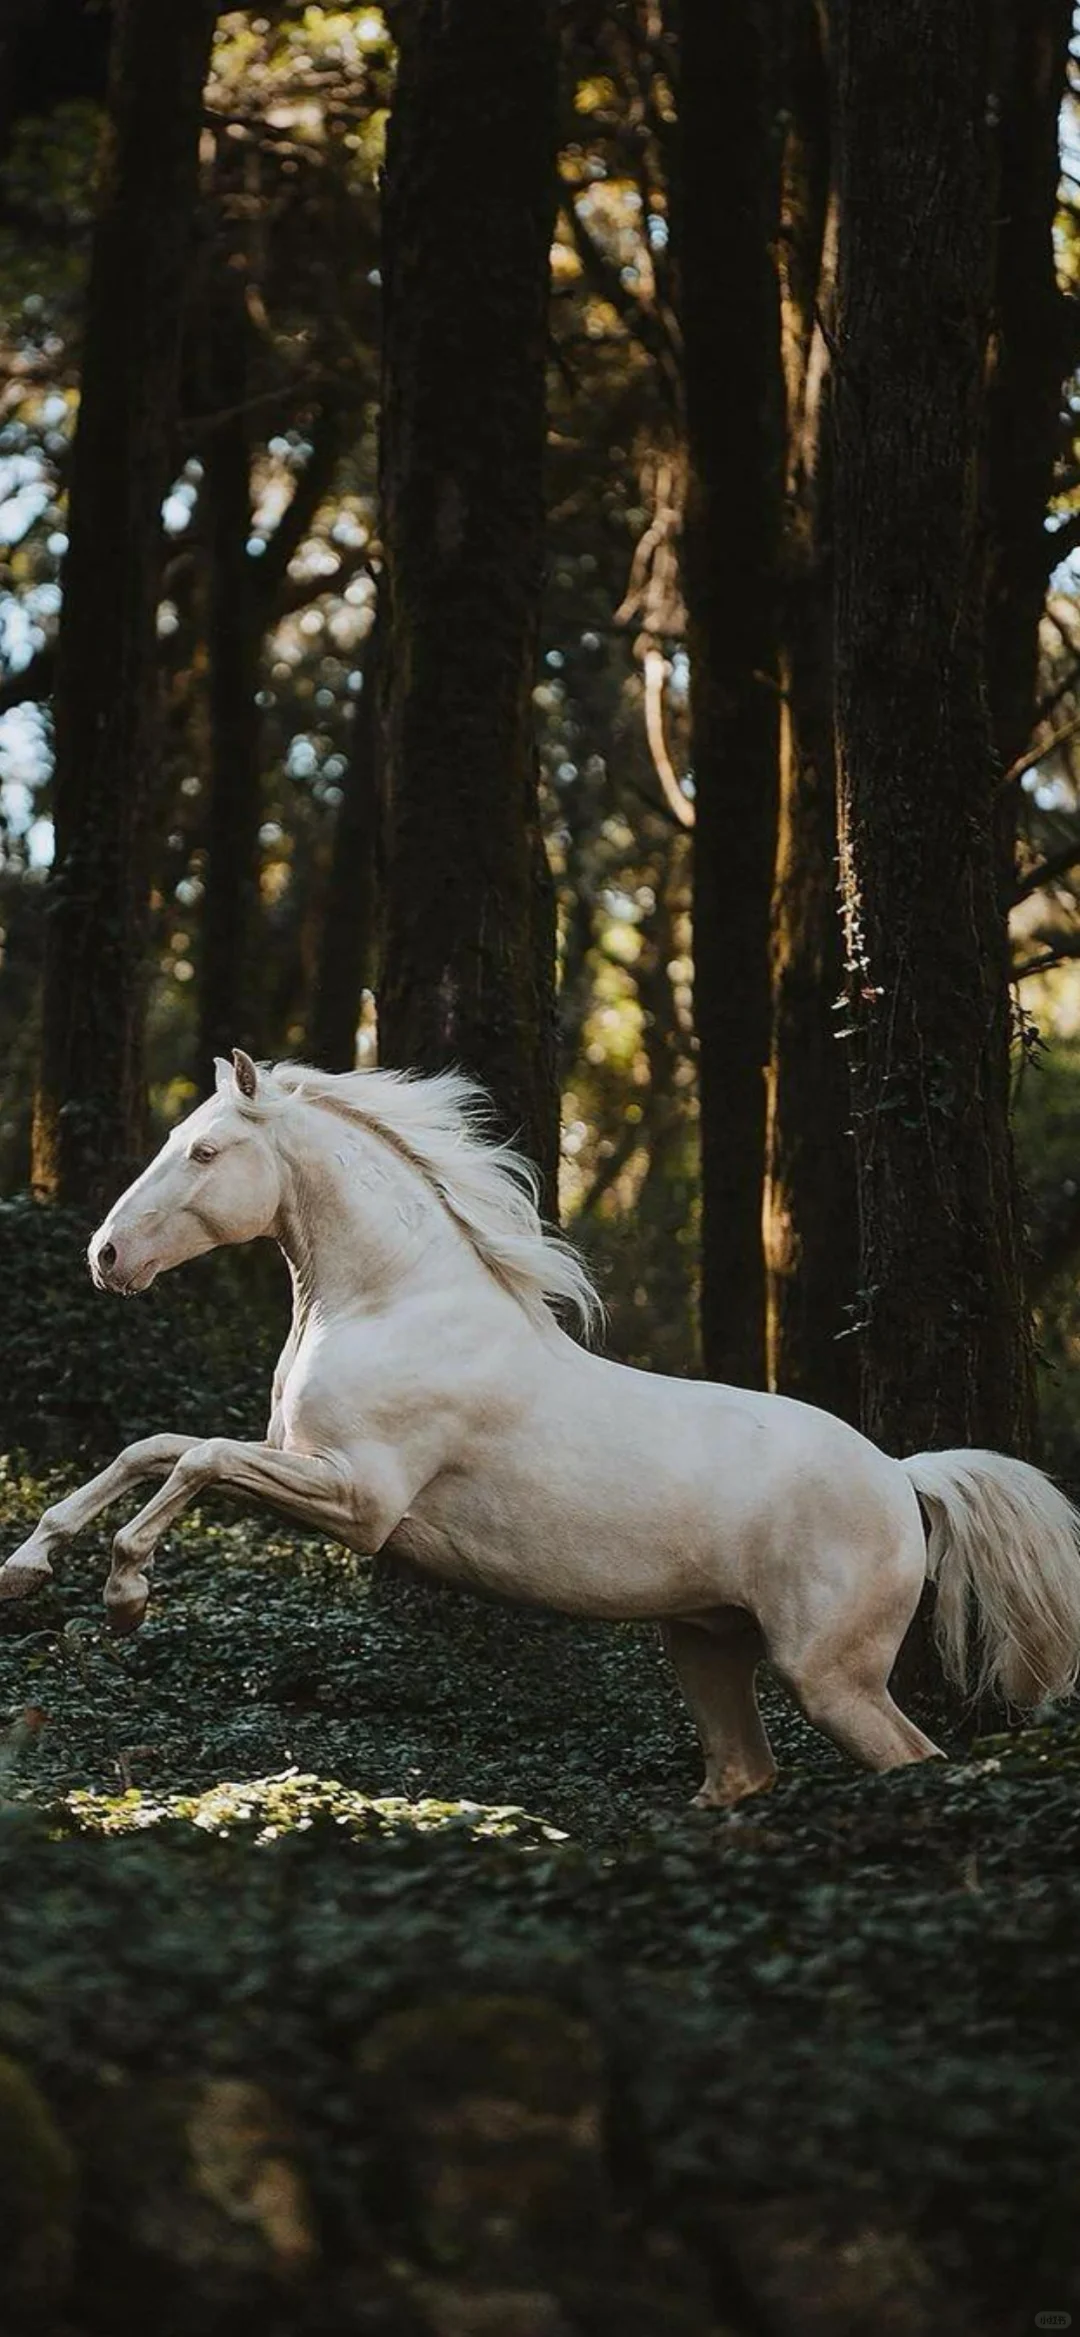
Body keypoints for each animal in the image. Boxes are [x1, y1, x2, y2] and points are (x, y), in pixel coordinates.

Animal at [2, 1060, 1080, 1804]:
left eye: (205, 1152)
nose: (107, 1254)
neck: (393, 1304)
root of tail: (904, 1475)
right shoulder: (299, 1460)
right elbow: (151, 1448)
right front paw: (30, 1564)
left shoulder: (357, 1498)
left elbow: (196, 1458)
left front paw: (126, 1593)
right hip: (707, 1647)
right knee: (744, 1776)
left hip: (833, 1676)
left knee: (916, 1762)